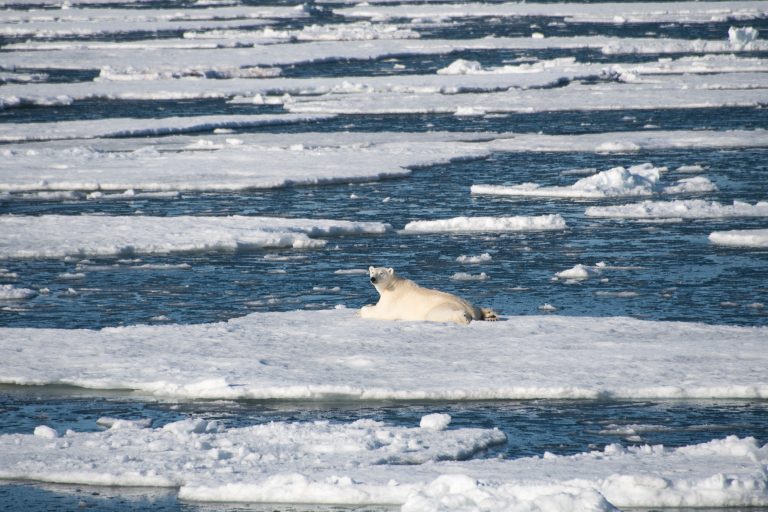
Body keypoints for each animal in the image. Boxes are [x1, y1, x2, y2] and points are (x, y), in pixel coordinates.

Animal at [360, 268, 498, 324]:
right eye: (372, 271)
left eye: (381, 273)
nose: (373, 279)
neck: (393, 284)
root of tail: (470, 310)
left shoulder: (392, 299)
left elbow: (380, 311)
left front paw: (362, 310)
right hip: (469, 303)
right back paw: (490, 314)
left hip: (442, 307)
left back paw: (464, 317)